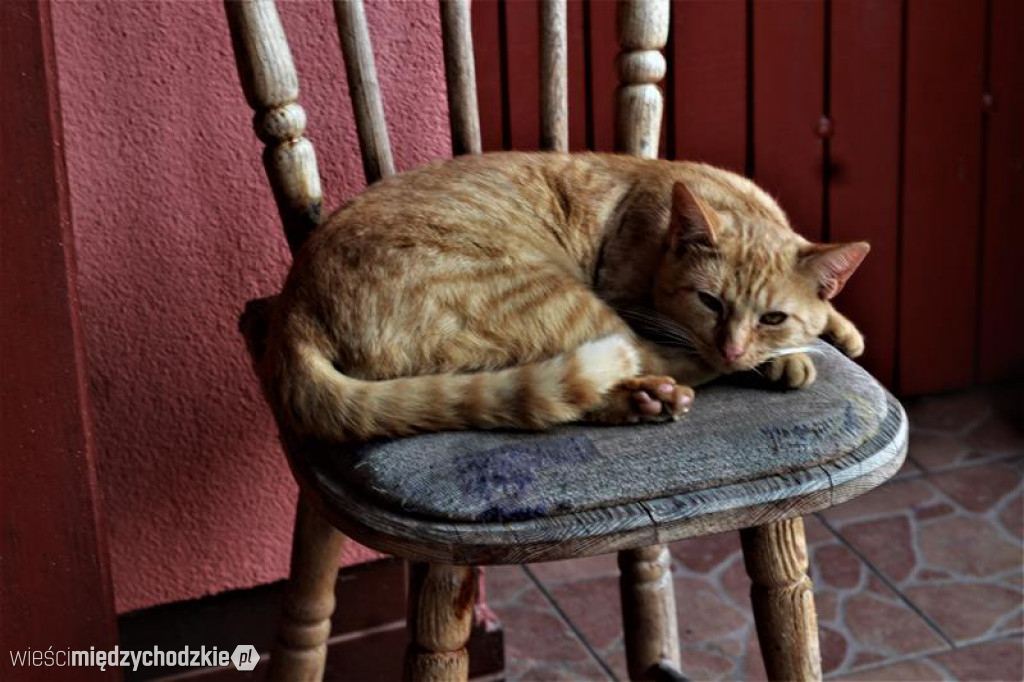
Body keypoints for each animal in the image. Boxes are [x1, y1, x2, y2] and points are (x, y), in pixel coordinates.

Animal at [260, 151, 868, 440]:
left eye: (772, 316)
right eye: (710, 303)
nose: (733, 347)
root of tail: (292, 308)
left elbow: (825, 314)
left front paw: (834, 332)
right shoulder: (629, 301)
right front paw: (788, 359)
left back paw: (645, 402)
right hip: (550, 296)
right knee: (641, 362)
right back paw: (656, 394)